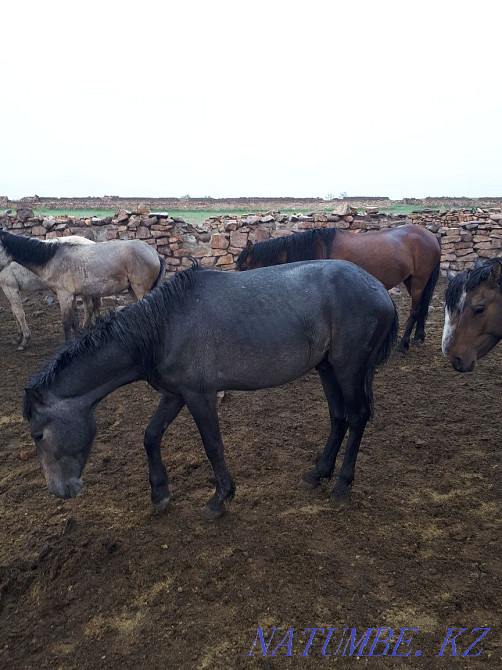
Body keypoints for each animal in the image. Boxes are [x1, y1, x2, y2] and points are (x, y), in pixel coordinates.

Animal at [0, 229, 165, 340]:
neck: (51, 259)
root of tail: (155, 253)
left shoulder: (64, 296)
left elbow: (66, 324)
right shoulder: (71, 297)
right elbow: (74, 322)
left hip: (140, 290)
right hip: (132, 290)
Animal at [23, 260, 398, 518]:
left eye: (39, 435)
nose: (60, 491)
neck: (164, 328)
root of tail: (380, 289)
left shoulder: (199, 396)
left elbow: (213, 446)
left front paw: (220, 498)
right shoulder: (175, 394)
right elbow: (150, 436)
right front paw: (160, 493)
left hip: (349, 370)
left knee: (357, 417)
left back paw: (342, 485)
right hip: (327, 369)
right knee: (338, 418)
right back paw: (317, 474)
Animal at [236, 224, 440, 353]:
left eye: (244, 268)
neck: (316, 249)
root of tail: (431, 236)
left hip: (419, 280)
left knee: (415, 310)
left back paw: (403, 344)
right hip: (411, 280)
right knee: (422, 308)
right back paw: (418, 337)